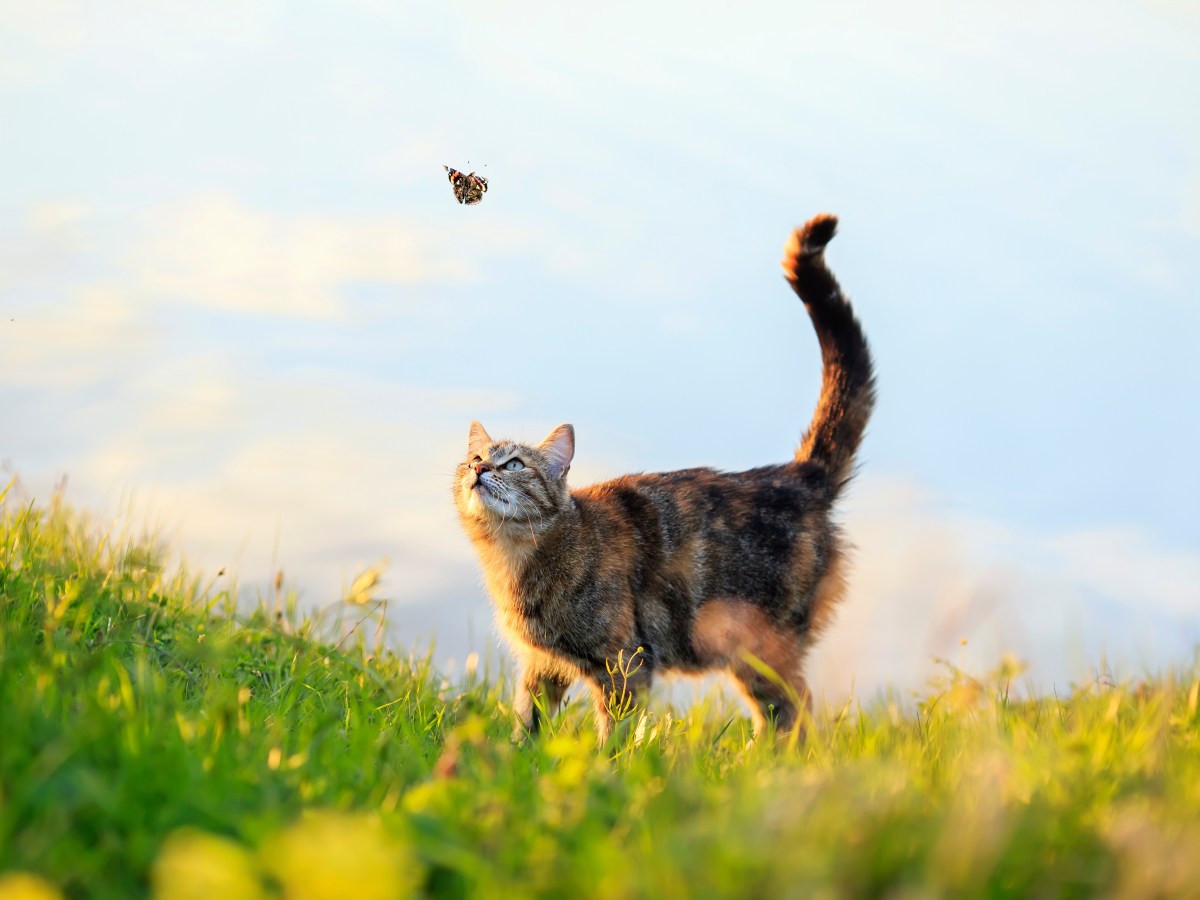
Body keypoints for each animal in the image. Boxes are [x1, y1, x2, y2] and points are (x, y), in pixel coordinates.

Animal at [453, 214, 878, 744]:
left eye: (514, 464)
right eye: (474, 458)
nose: (480, 469)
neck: (515, 560)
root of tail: (796, 474)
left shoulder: (624, 663)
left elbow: (612, 736)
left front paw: (606, 761)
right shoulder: (540, 665)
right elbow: (527, 723)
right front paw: (517, 754)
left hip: (758, 648)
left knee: (794, 713)